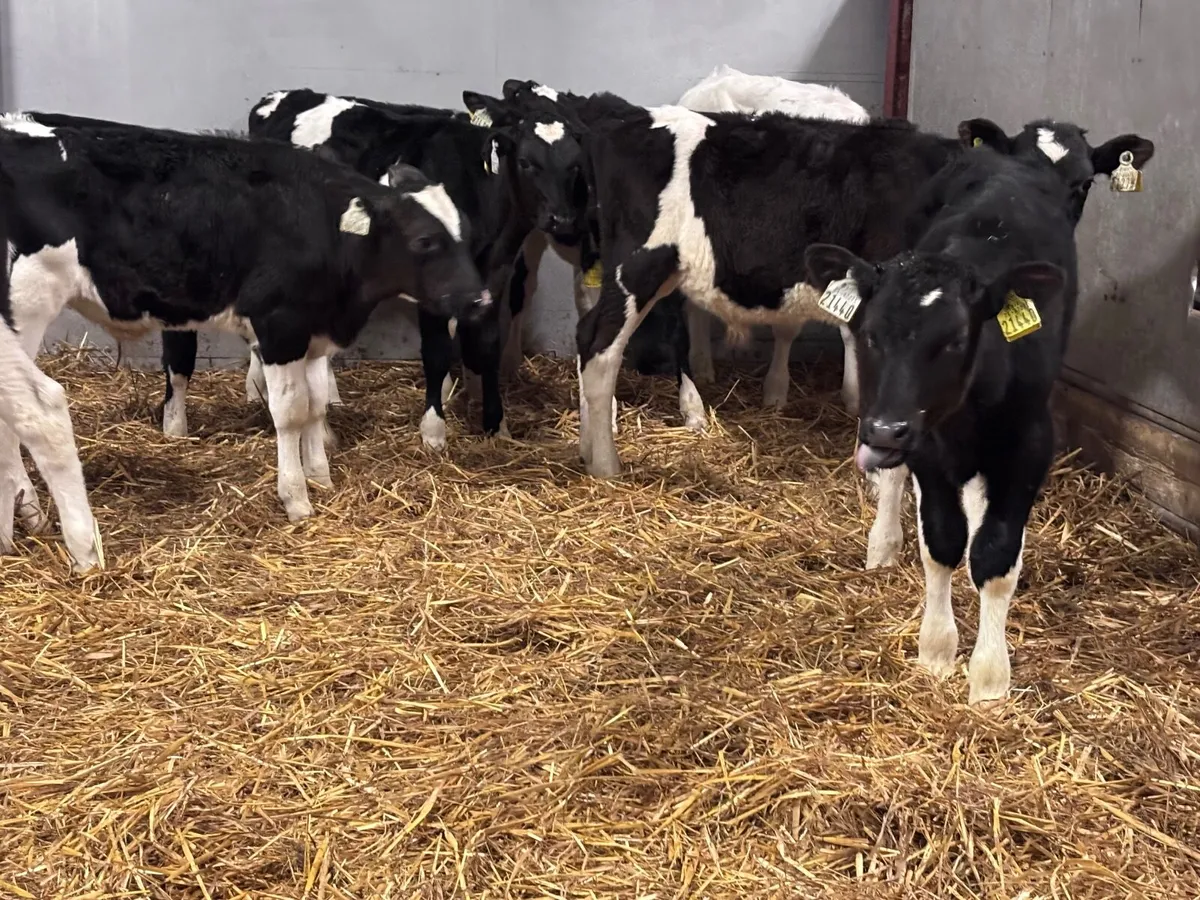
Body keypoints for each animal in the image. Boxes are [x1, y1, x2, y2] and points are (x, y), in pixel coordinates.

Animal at [0, 113, 487, 571]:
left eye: (466, 231)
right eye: (424, 241)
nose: (480, 300)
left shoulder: (313, 332)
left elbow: (316, 405)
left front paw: (320, 476)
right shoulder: (279, 327)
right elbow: (290, 412)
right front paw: (296, 498)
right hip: (27, 303)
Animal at [803, 147, 1084, 706]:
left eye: (954, 339)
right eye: (869, 333)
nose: (886, 430)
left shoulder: (1030, 446)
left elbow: (996, 555)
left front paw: (990, 677)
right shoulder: (926, 448)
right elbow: (941, 540)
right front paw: (936, 649)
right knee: (894, 482)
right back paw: (883, 543)